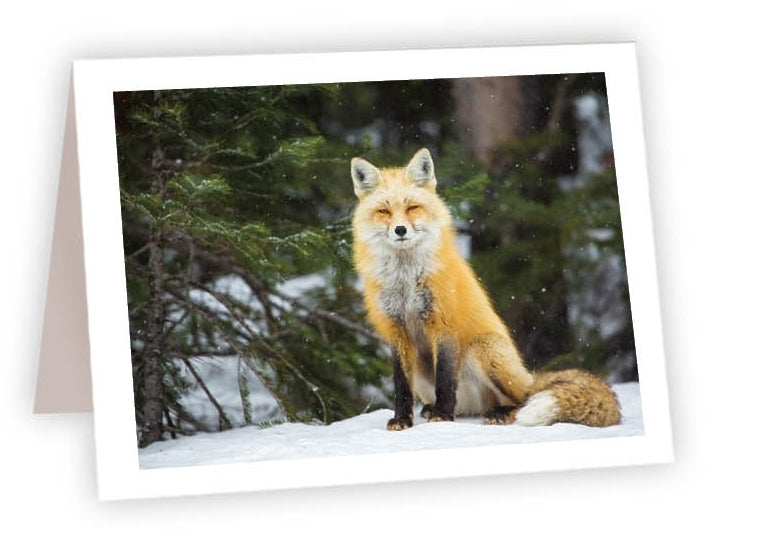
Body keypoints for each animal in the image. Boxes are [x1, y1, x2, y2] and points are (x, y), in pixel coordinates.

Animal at [350, 148, 621, 430]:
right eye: (384, 211)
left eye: (412, 207)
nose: (400, 230)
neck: (406, 279)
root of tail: (529, 377)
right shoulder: (395, 330)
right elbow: (401, 384)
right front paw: (403, 419)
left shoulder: (443, 323)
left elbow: (445, 379)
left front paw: (443, 417)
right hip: (424, 373)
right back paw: (434, 408)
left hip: (484, 348)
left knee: (522, 399)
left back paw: (498, 412)